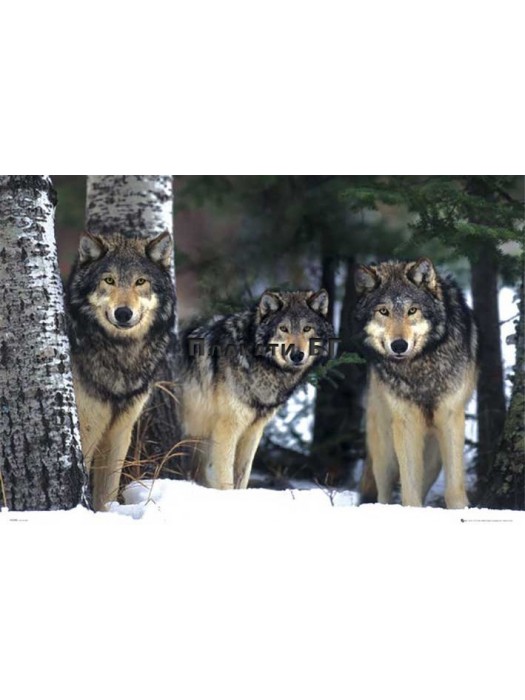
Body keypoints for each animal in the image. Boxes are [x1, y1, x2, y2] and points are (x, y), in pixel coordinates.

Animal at [65, 232, 175, 511]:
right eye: (109, 280)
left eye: (140, 281)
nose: (123, 313)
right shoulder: (87, 428)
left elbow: (107, 493)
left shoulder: (119, 432)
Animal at [177, 289, 333, 489]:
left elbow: (243, 475)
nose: (297, 355)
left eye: (307, 328)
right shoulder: (227, 428)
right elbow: (225, 477)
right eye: (283, 329)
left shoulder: (253, 431)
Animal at [353, 258, 478, 509]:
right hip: (385, 448)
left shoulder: (451, 417)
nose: (399, 345)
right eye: (384, 311)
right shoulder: (406, 421)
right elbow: (409, 488)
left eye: (412, 310)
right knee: (383, 491)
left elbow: (454, 487)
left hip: (432, 458)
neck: (420, 368)